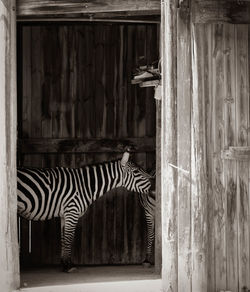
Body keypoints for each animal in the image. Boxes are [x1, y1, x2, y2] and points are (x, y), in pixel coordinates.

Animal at [17, 148, 154, 272]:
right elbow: (69, 238)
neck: (85, 185)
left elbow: (64, 239)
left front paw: (64, 263)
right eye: (136, 171)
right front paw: (68, 266)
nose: (153, 186)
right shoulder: (72, 211)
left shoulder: (64, 214)